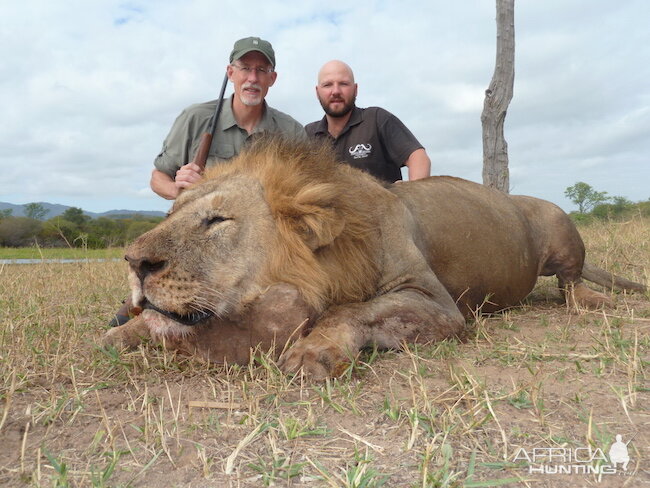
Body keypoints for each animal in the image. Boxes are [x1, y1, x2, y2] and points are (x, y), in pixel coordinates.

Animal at [102, 136, 644, 378]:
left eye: (216, 221)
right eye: (173, 213)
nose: (134, 262)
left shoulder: (437, 304)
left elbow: (351, 310)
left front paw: (315, 351)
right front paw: (122, 331)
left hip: (558, 222)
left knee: (572, 283)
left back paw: (596, 302)